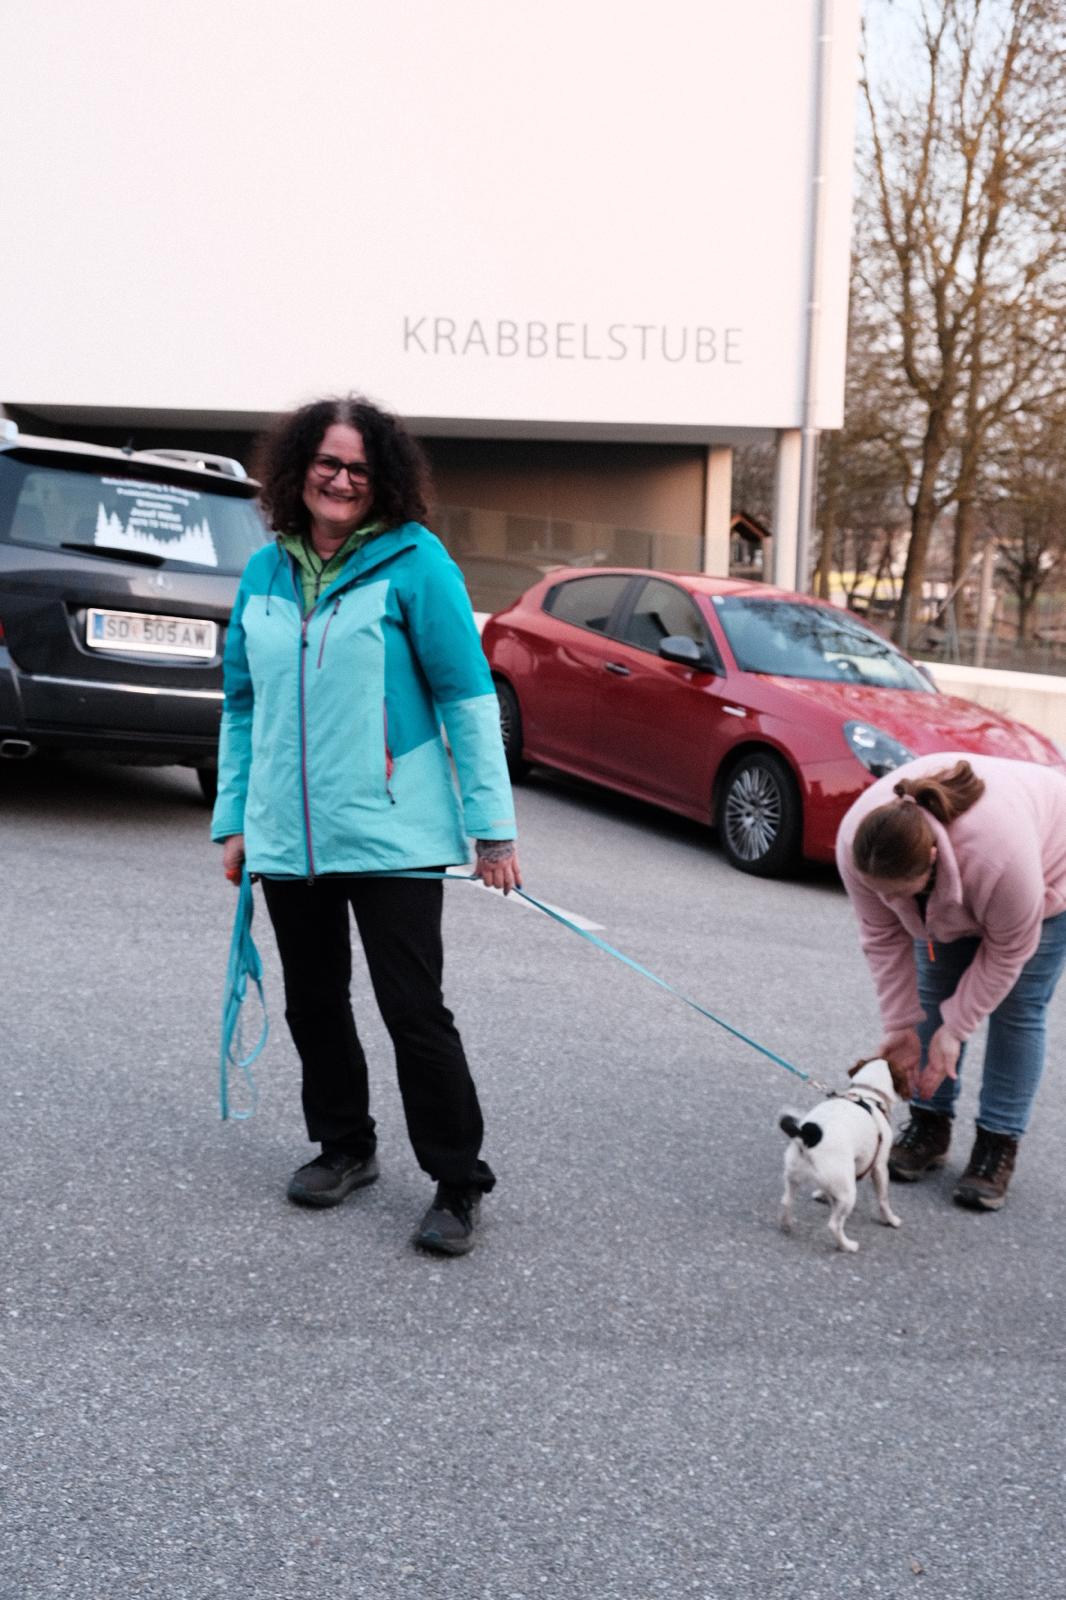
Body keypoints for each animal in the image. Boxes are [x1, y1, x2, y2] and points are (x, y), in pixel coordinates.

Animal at [778, 1056, 910, 1253]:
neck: (867, 1094)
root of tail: (807, 1135)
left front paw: (822, 1195)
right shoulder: (879, 1167)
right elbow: (883, 1199)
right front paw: (891, 1220)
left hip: (793, 1176)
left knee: (786, 1201)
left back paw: (787, 1225)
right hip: (849, 1194)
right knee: (834, 1225)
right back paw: (847, 1245)